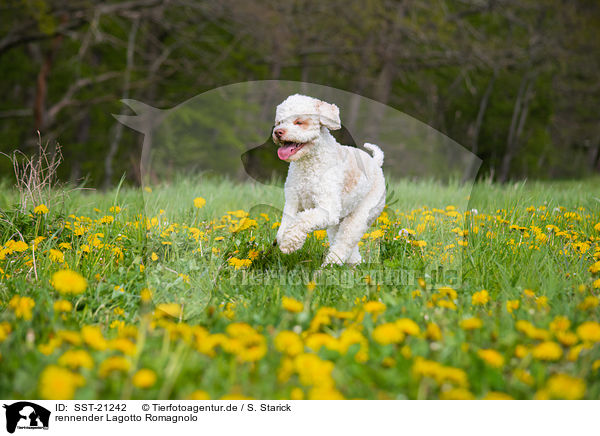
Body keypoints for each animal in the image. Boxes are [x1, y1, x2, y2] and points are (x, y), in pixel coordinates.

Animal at [274, 94, 386, 266]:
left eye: (299, 122)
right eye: (279, 122)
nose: (278, 132)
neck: (308, 164)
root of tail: (376, 163)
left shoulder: (328, 209)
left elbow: (303, 220)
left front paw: (290, 242)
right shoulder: (293, 201)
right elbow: (286, 224)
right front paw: (283, 237)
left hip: (360, 216)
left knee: (344, 242)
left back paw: (330, 265)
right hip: (338, 221)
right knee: (350, 249)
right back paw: (351, 265)